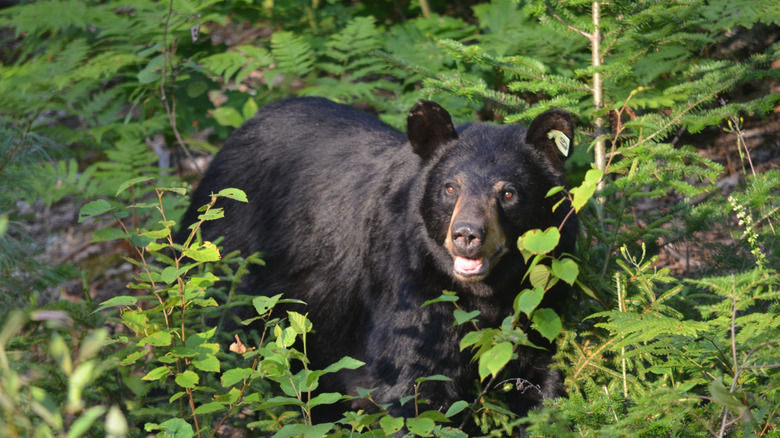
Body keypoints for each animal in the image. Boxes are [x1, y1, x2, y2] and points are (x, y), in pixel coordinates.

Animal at [177, 97, 577, 428]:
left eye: (508, 192)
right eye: (450, 187)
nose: (467, 234)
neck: (483, 294)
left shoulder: (539, 301)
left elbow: (540, 385)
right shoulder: (409, 288)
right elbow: (414, 387)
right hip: (228, 258)